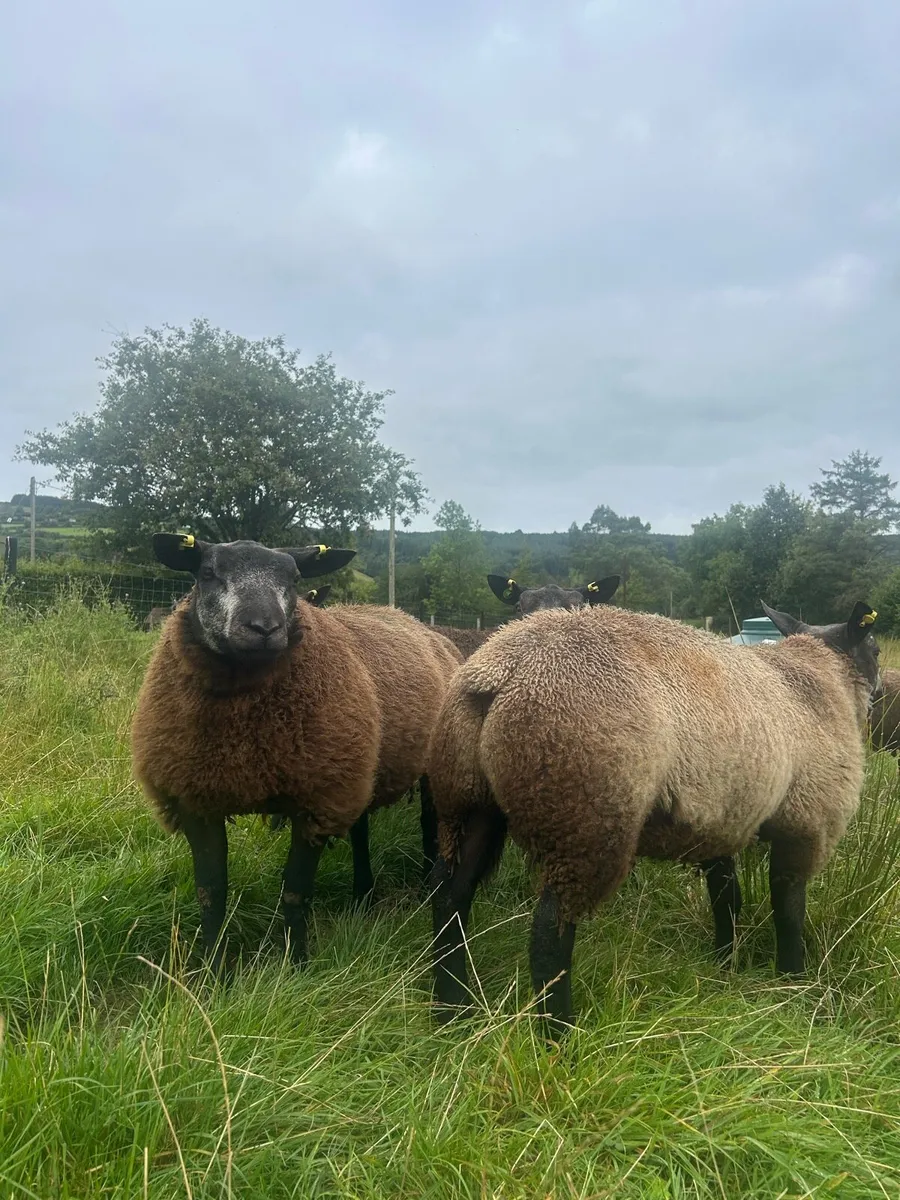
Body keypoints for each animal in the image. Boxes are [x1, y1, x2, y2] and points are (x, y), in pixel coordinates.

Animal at [131, 533, 461, 973]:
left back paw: (425, 884)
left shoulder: (315, 801)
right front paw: (212, 972)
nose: (264, 627)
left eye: (295, 578)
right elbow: (211, 894)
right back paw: (363, 895)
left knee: (428, 822)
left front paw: (296, 965)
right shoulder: (196, 800)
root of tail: (403, 615)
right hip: (354, 767)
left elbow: (295, 893)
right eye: (207, 572)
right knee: (360, 832)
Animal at [426, 598, 880, 1036]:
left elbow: (727, 896)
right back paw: (559, 1036)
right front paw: (794, 984)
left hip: (466, 803)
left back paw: (453, 1010)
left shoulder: (721, 819)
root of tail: (504, 669)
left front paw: (724, 962)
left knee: (450, 899)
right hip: (584, 818)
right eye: (876, 649)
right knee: (549, 936)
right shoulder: (809, 822)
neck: (821, 676)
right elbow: (789, 911)